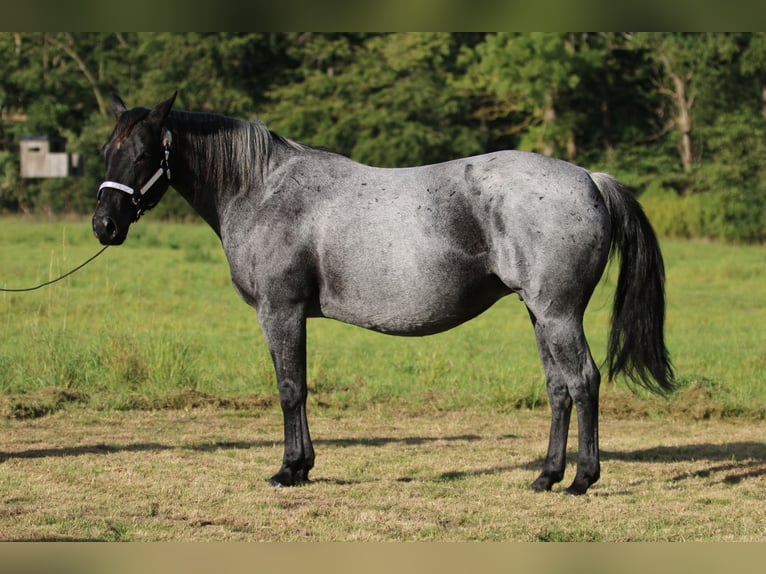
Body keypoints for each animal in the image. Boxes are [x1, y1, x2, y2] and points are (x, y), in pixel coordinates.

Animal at [93, 93, 676, 496]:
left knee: (583, 382)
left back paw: (581, 480)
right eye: (106, 151)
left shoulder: (280, 312)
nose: (104, 225)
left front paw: (289, 470)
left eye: (144, 153)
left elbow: (290, 388)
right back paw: (546, 476)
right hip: (540, 315)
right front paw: (302, 466)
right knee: (558, 389)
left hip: (558, 314)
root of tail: (589, 178)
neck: (262, 190)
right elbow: (299, 387)